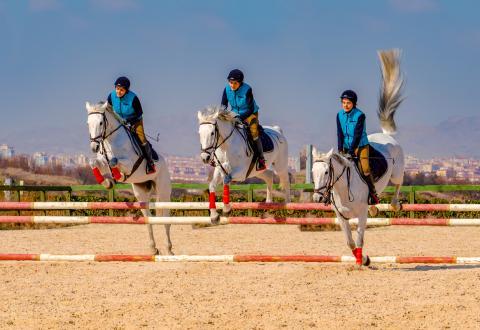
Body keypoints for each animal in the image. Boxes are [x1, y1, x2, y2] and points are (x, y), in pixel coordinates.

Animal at [85, 101, 173, 255]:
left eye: (101, 122)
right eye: (88, 123)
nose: (94, 147)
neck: (110, 141)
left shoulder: (130, 163)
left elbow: (114, 161)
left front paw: (116, 176)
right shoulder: (101, 160)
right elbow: (94, 162)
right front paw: (107, 182)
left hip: (163, 192)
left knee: (166, 219)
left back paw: (169, 249)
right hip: (141, 193)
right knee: (148, 219)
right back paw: (153, 249)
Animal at [312, 49, 404, 266]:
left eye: (327, 172)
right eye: (312, 171)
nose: (317, 197)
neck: (343, 189)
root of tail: (386, 136)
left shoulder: (360, 215)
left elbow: (360, 238)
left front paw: (363, 260)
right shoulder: (341, 217)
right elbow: (350, 242)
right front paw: (362, 258)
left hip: (397, 172)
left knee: (398, 184)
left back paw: (394, 204)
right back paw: (375, 208)